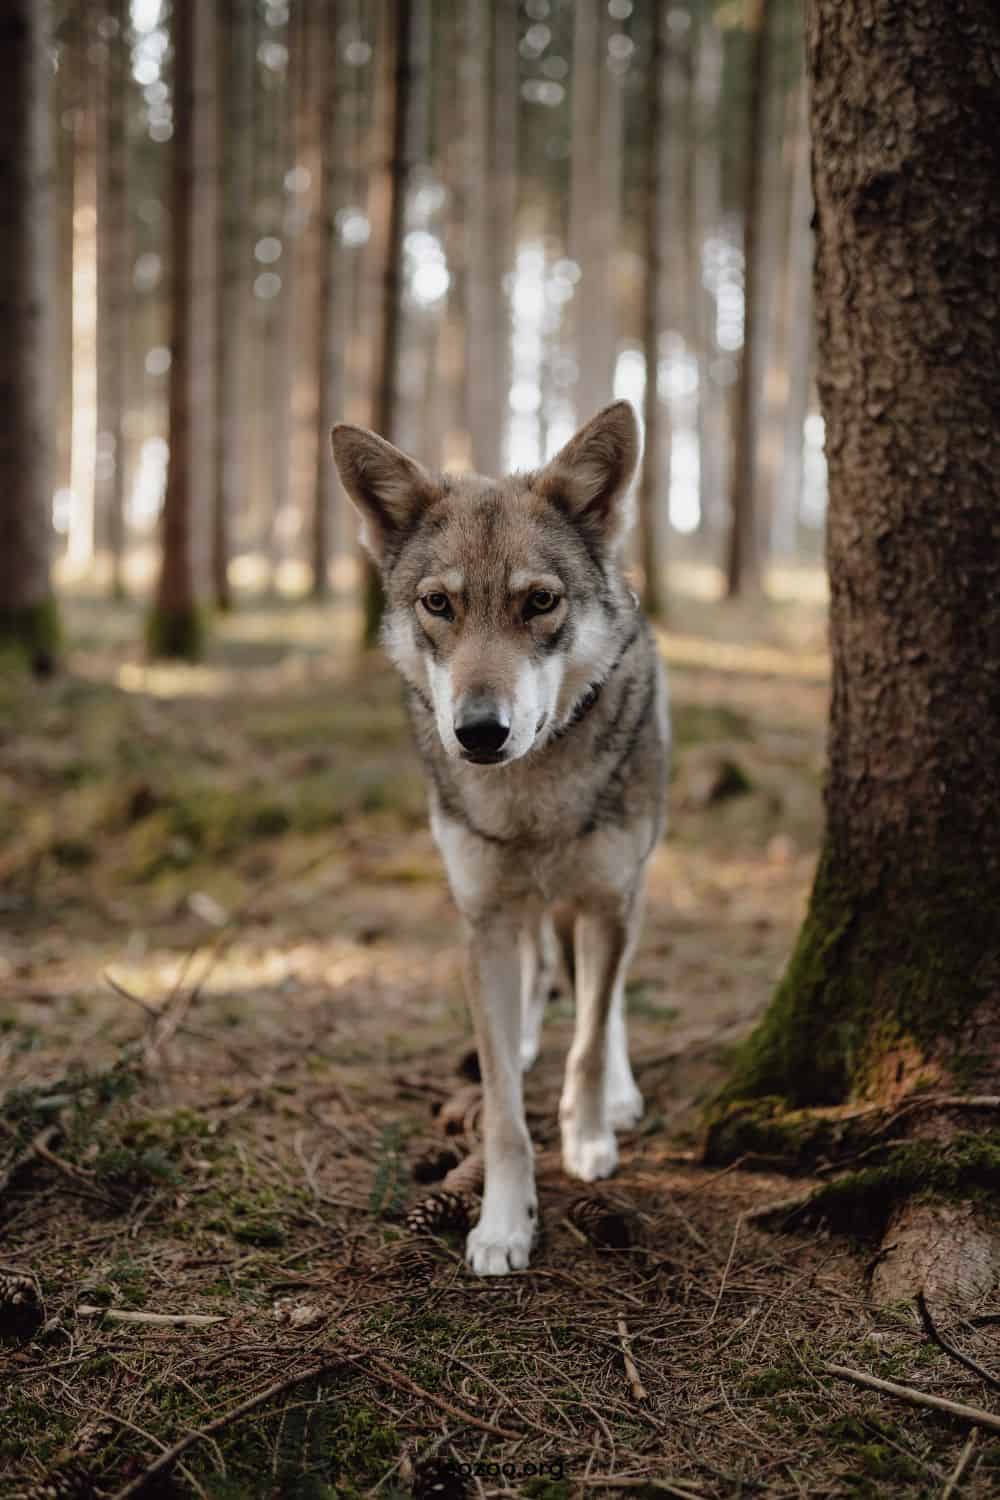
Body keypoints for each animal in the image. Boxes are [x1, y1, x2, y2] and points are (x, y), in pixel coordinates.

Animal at [332, 400, 669, 1275]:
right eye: (439, 604)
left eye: (540, 602)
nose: (480, 732)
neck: (532, 799)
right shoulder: (483, 918)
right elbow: (505, 1112)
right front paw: (503, 1224)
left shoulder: (608, 898)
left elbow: (589, 1041)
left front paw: (588, 1136)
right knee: (542, 973)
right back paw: (520, 1038)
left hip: (625, 890)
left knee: (605, 999)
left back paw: (617, 1096)